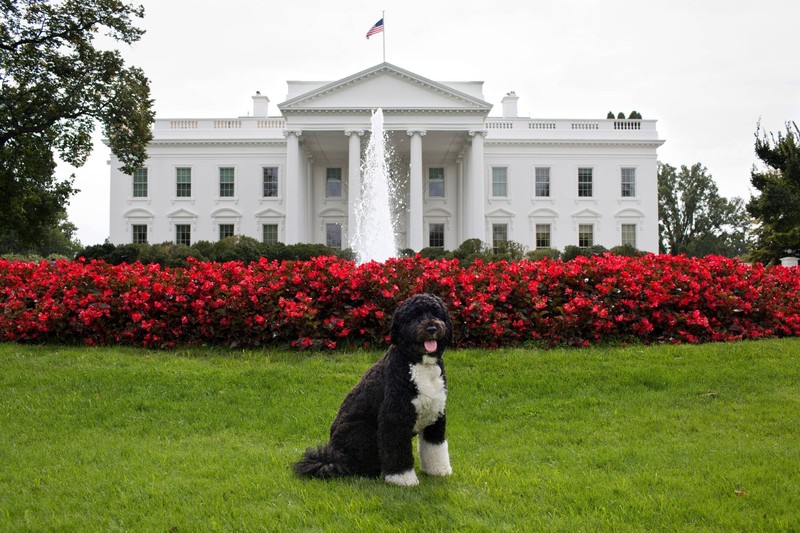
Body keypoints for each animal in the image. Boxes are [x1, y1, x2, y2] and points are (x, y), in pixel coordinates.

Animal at [296, 294, 456, 484]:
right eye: (414, 316)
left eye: (436, 313)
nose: (432, 328)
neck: (419, 364)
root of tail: (332, 457)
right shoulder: (394, 418)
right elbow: (397, 452)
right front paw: (403, 480)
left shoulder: (436, 415)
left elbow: (435, 447)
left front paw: (438, 471)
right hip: (364, 432)